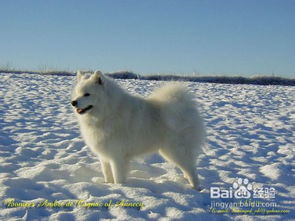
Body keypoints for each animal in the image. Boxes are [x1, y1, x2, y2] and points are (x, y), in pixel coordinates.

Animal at [72, 71, 206, 190]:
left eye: (87, 94)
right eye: (77, 94)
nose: (73, 102)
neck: (108, 113)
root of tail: (186, 107)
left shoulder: (117, 157)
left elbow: (118, 177)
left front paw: (120, 188)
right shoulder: (104, 155)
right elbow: (107, 174)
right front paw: (108, 185)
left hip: (176, 150)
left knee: (192, 169)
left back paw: (195, 188)